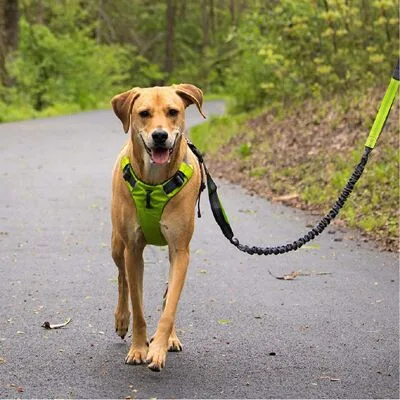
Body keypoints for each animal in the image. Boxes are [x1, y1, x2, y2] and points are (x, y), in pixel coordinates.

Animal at [110, 84, 206, 372]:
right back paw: (122, 319)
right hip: (117, 245)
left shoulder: (181, 250)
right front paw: (138, 348)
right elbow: (138, 305)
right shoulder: (132, 250)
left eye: (173, 111)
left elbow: (170, 304)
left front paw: (159, 348)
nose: (160, 135)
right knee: (122, 278)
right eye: (144, 113)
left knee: (167, 293)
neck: (153, 183)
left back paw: (170, 338)